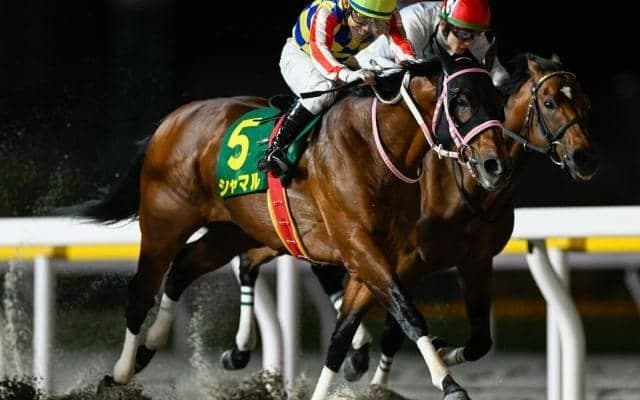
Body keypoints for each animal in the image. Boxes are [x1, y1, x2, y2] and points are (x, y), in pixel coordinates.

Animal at [67, 44, 511, 400]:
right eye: (462, 100)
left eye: (498, 98)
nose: (494, 166)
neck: (374, 147)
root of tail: (171, 120)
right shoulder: (360, 248)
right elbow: (407, 313)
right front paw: (449, 384)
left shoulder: (378, 257)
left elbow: (340, 337)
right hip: (164, 223)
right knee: (142, 289)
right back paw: (119, 373)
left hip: (231, 232)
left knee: (183, 268)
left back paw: (148, 349)